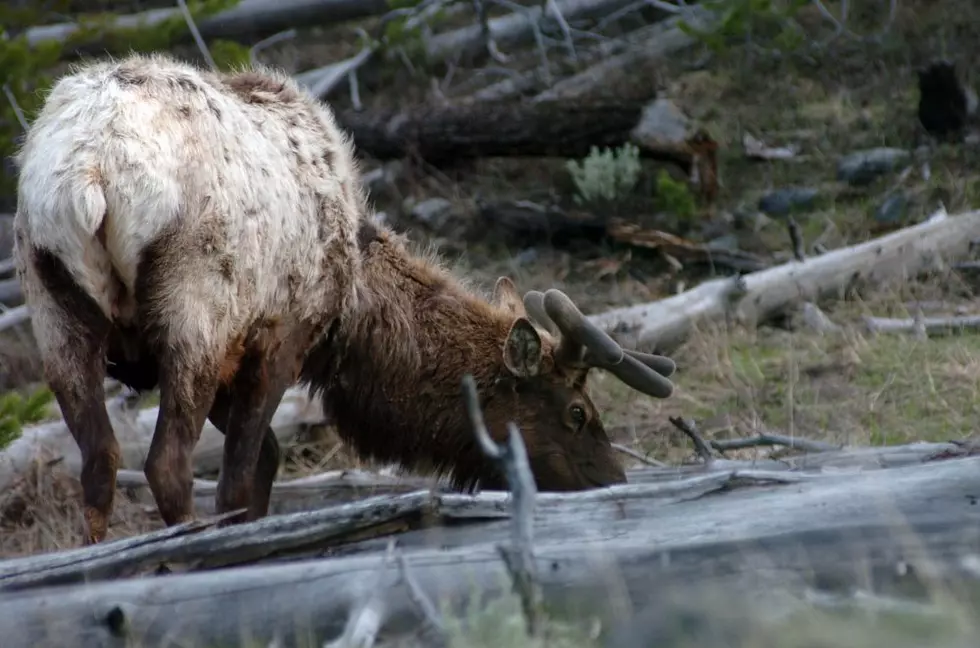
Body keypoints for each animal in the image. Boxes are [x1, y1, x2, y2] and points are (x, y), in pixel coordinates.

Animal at [13, 53, 672, 544]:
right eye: (577, 412)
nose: (615, 483)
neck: (352, 313)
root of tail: (90, 173)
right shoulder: (281, 337)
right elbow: (242, 477)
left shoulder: (237, 356)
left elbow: (265, 461)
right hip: (194, 312)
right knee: (165, 465)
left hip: (54, 311)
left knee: (99, 463)